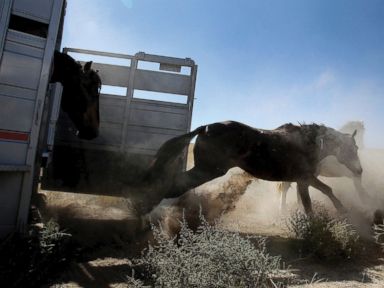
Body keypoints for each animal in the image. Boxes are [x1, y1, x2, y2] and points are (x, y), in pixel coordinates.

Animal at [144, 120, 364, 215]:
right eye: (353, 148)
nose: (359, 171)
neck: (309, 143)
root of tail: (204, 128)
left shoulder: (303, 180)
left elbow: (317, 196)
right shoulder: (305, 179)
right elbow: (322, 194)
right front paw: (340, 210)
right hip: (208, 170)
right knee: (173, 186)